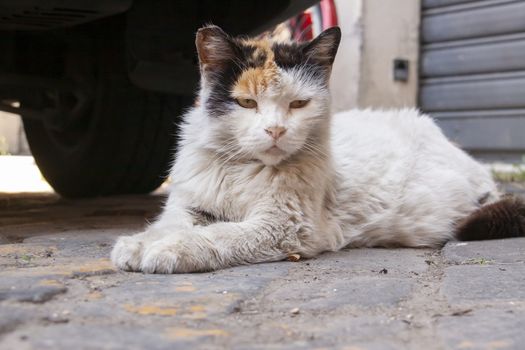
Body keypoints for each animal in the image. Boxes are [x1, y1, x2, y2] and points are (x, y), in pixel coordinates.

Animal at [110, 26, 524, 274]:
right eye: (246, 103)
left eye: (298, 104)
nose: (275, 130)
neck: (241, 168)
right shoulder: (191, 206)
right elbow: (169, 223)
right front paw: (139, 243)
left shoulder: (285, 227)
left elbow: (220, 236)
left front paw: (171, 250)